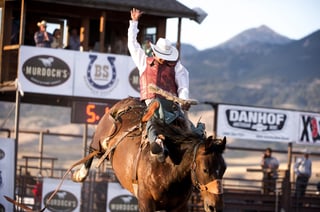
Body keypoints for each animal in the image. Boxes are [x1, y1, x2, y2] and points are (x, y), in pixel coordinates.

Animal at [72, 97, 228, 211]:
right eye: (205, 169)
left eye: (223, 170)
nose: (215, 207)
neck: (170, 166)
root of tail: (128, 101)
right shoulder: (146, 202)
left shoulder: (180, 206)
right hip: (99, 138)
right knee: (93, 150)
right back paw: (80, 175)